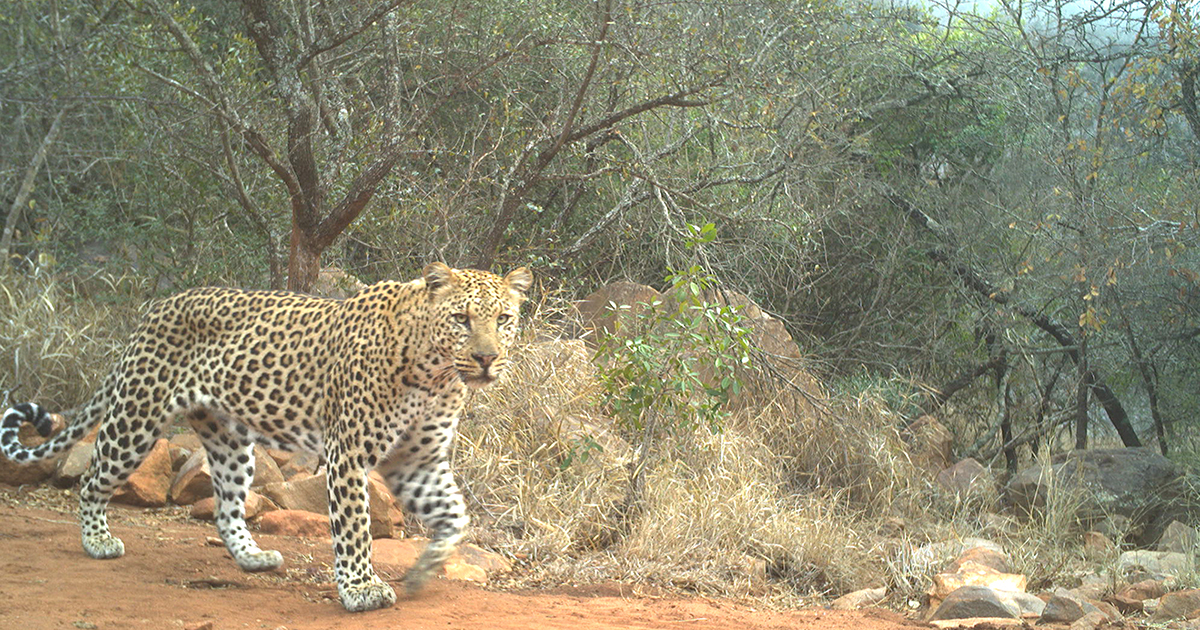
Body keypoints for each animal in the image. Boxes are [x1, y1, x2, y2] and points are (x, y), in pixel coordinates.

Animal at [1, 262, 532, 612]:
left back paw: (252, 557)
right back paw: (97, 540)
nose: (487, 358)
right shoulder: (349, 452)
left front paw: (423, 572)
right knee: (92, 478)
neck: (434, 374)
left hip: (229, 440)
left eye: (504, 320)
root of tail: (155, 309)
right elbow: (356, 526)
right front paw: (360, 588)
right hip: (137, 415)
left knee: (226, 508)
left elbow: (455, 516)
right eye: (462, 319)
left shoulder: (417, 460)